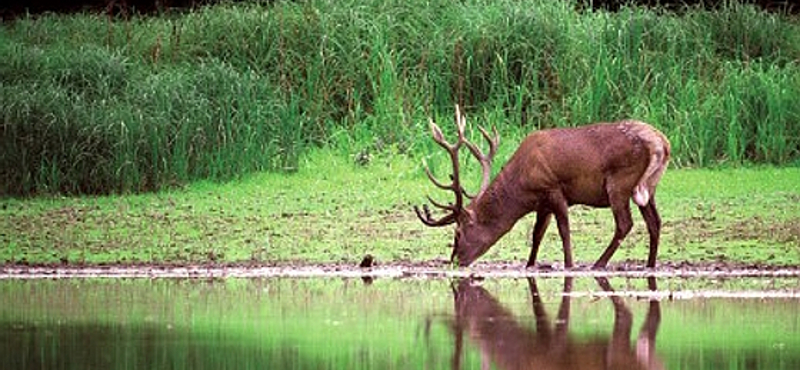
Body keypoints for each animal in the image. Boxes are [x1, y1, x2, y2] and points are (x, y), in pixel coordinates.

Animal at [416, 105, 672, 268]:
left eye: (458, 232)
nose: (455, 261)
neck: (522, 188)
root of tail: (661, 142)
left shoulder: (553, 188)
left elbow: (564, 231)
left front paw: (570, 264)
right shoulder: (542, 203)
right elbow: (537, 234)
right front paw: (529, 265)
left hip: (620, 182)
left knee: (625, 223)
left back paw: (598, 264)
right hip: (649, 187)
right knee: (655, 222)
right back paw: (650, 265)